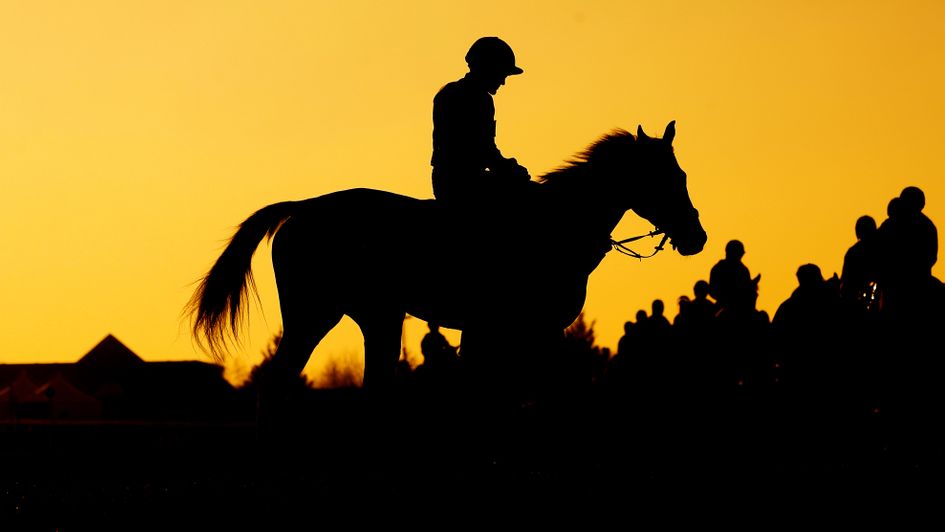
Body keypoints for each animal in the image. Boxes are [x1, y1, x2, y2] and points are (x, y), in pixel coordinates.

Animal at [186, 121, 707, 395]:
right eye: (669, 177)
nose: (696, 236)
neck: (553, 224)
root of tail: (302, 208)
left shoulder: (500, 332)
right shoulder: (528, 329)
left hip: (373, 316)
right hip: (318, 314)